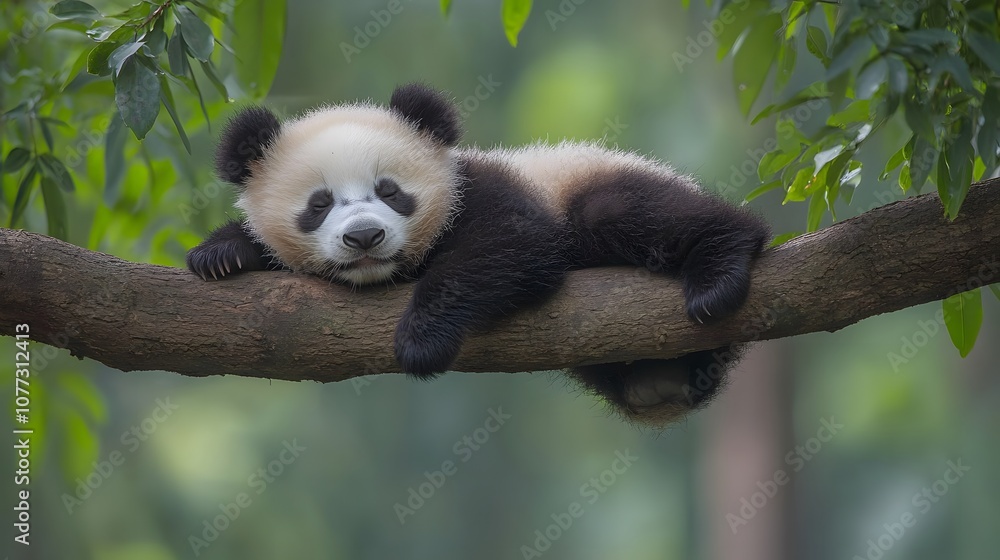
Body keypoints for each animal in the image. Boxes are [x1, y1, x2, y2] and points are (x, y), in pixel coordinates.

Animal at [186, 83, 771, 426]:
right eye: (319, 204)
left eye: (390, 191)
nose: (365, 238)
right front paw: (222, 255)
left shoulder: (486, 190)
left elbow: (512, 246)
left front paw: (422, 339)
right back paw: (650, 379)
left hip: (598, 183)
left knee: (634, 212)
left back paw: (718, 274)